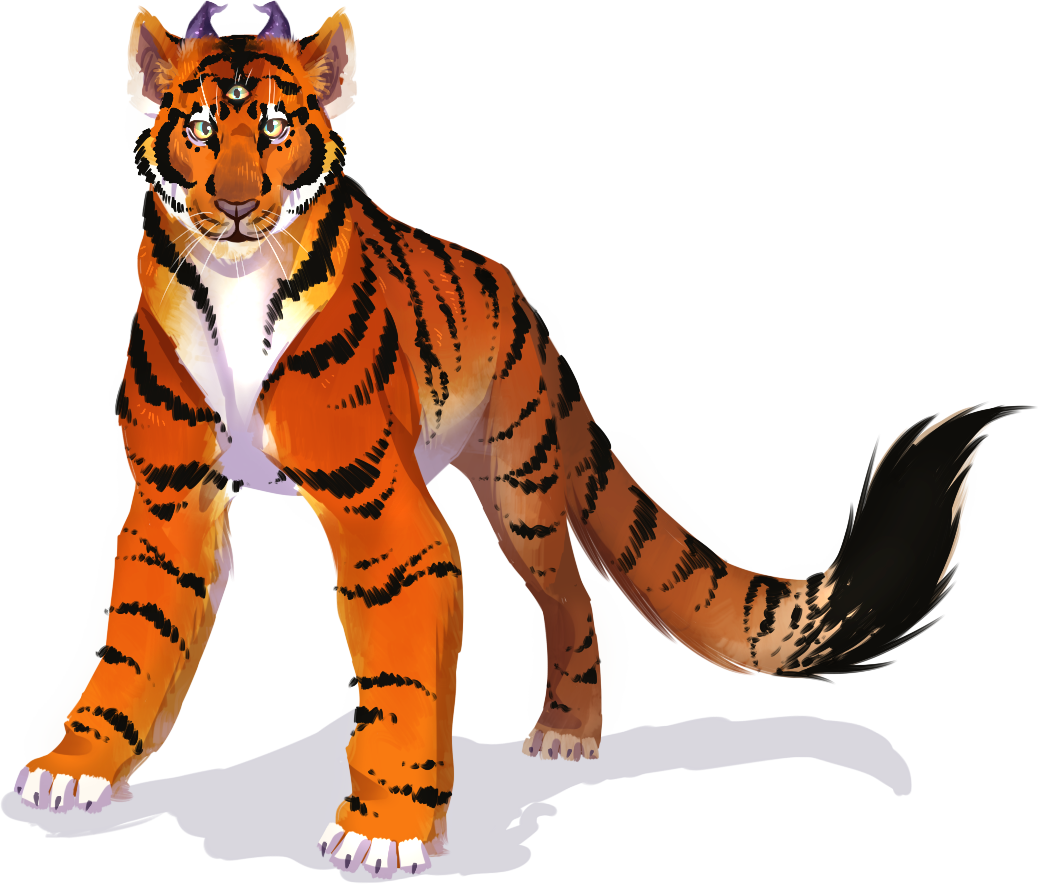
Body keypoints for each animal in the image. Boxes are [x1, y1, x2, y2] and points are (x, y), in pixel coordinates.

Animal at [11, 2, 1033, 879]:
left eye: (270, 125)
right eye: (196, 129)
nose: (229, 203)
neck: (234, 277)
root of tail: (525, 303)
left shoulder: (381, 511)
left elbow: (401, 677)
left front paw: (385, 834)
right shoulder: (172, 495)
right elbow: (138, 638)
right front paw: (76, 768)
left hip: (522, 486)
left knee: (572, 598)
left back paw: (568, 732)